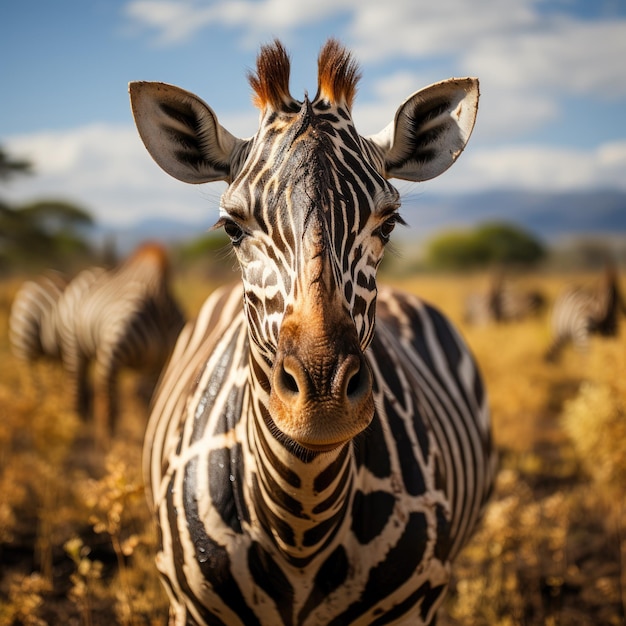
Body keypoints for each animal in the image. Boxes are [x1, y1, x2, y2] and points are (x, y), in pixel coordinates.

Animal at [129, 40, 494, 624]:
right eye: (233, 227)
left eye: (387, 223)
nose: (321, 398)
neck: (301, 520)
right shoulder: (190, 607)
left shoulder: (415, 607)